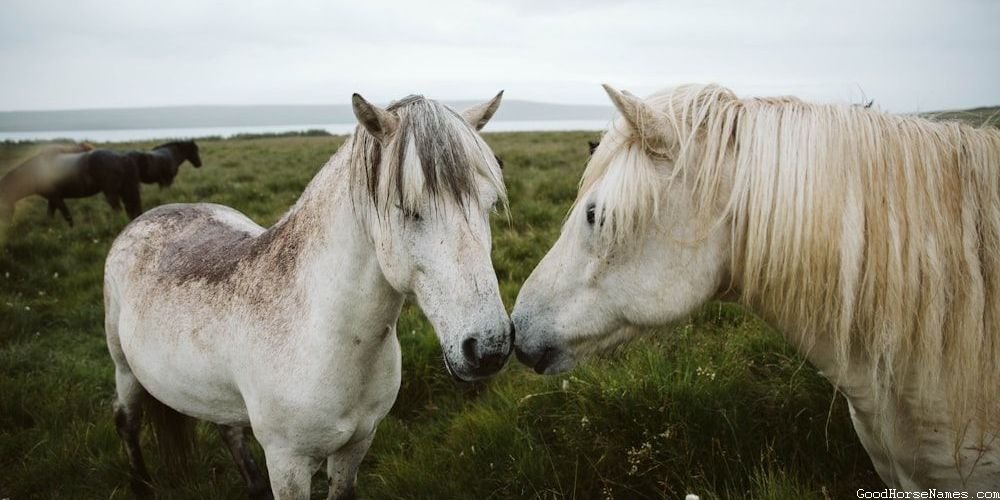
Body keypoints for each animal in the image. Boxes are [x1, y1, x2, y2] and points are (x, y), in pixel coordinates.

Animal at [0, 141, 203, 227]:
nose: (199, 164)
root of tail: (124, 157)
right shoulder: (54, 198)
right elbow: (53, 215)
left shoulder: (55, 197)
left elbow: (64, 215)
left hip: (113, 192)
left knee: (119, 210)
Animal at [104, 92, 512, 498]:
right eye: (408, 210)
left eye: (490, 204)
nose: (488, 348)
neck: (323, 336)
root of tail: (146, 216)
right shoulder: (288, 462)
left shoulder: (357, 444)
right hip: (124, 368)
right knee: (126, 421)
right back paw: (140, 484)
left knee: (228, 429)